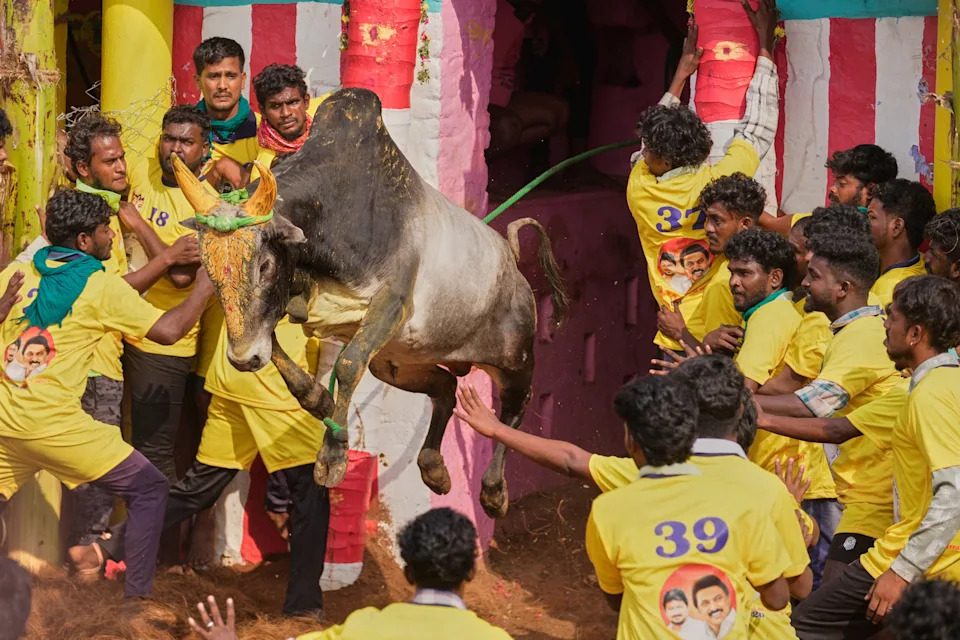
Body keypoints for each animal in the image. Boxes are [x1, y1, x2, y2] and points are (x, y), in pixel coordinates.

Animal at [174, 87, 568, 518]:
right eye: (208, 270)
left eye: (264, 265)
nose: (243, 362)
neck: (334, 214)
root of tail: (512, 262)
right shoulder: (292, 310)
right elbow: (272, 344)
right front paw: (317, 399)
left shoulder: (392, 303)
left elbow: (346, 365)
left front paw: (332, 456)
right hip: (396, 363)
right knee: (446, 387)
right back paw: (433, 467)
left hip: (514, 360)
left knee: (514, 409)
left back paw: (494, 491)